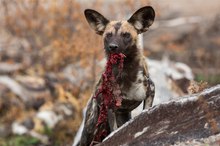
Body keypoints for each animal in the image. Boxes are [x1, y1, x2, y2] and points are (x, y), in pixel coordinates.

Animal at [79, 6, 155, 146]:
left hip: (123, 118)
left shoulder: (150, 92)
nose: (113, 47)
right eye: (108, 35)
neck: (126, 72)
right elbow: (114, 132)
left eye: (126, 35)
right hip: (90, 128)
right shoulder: (110, 107)